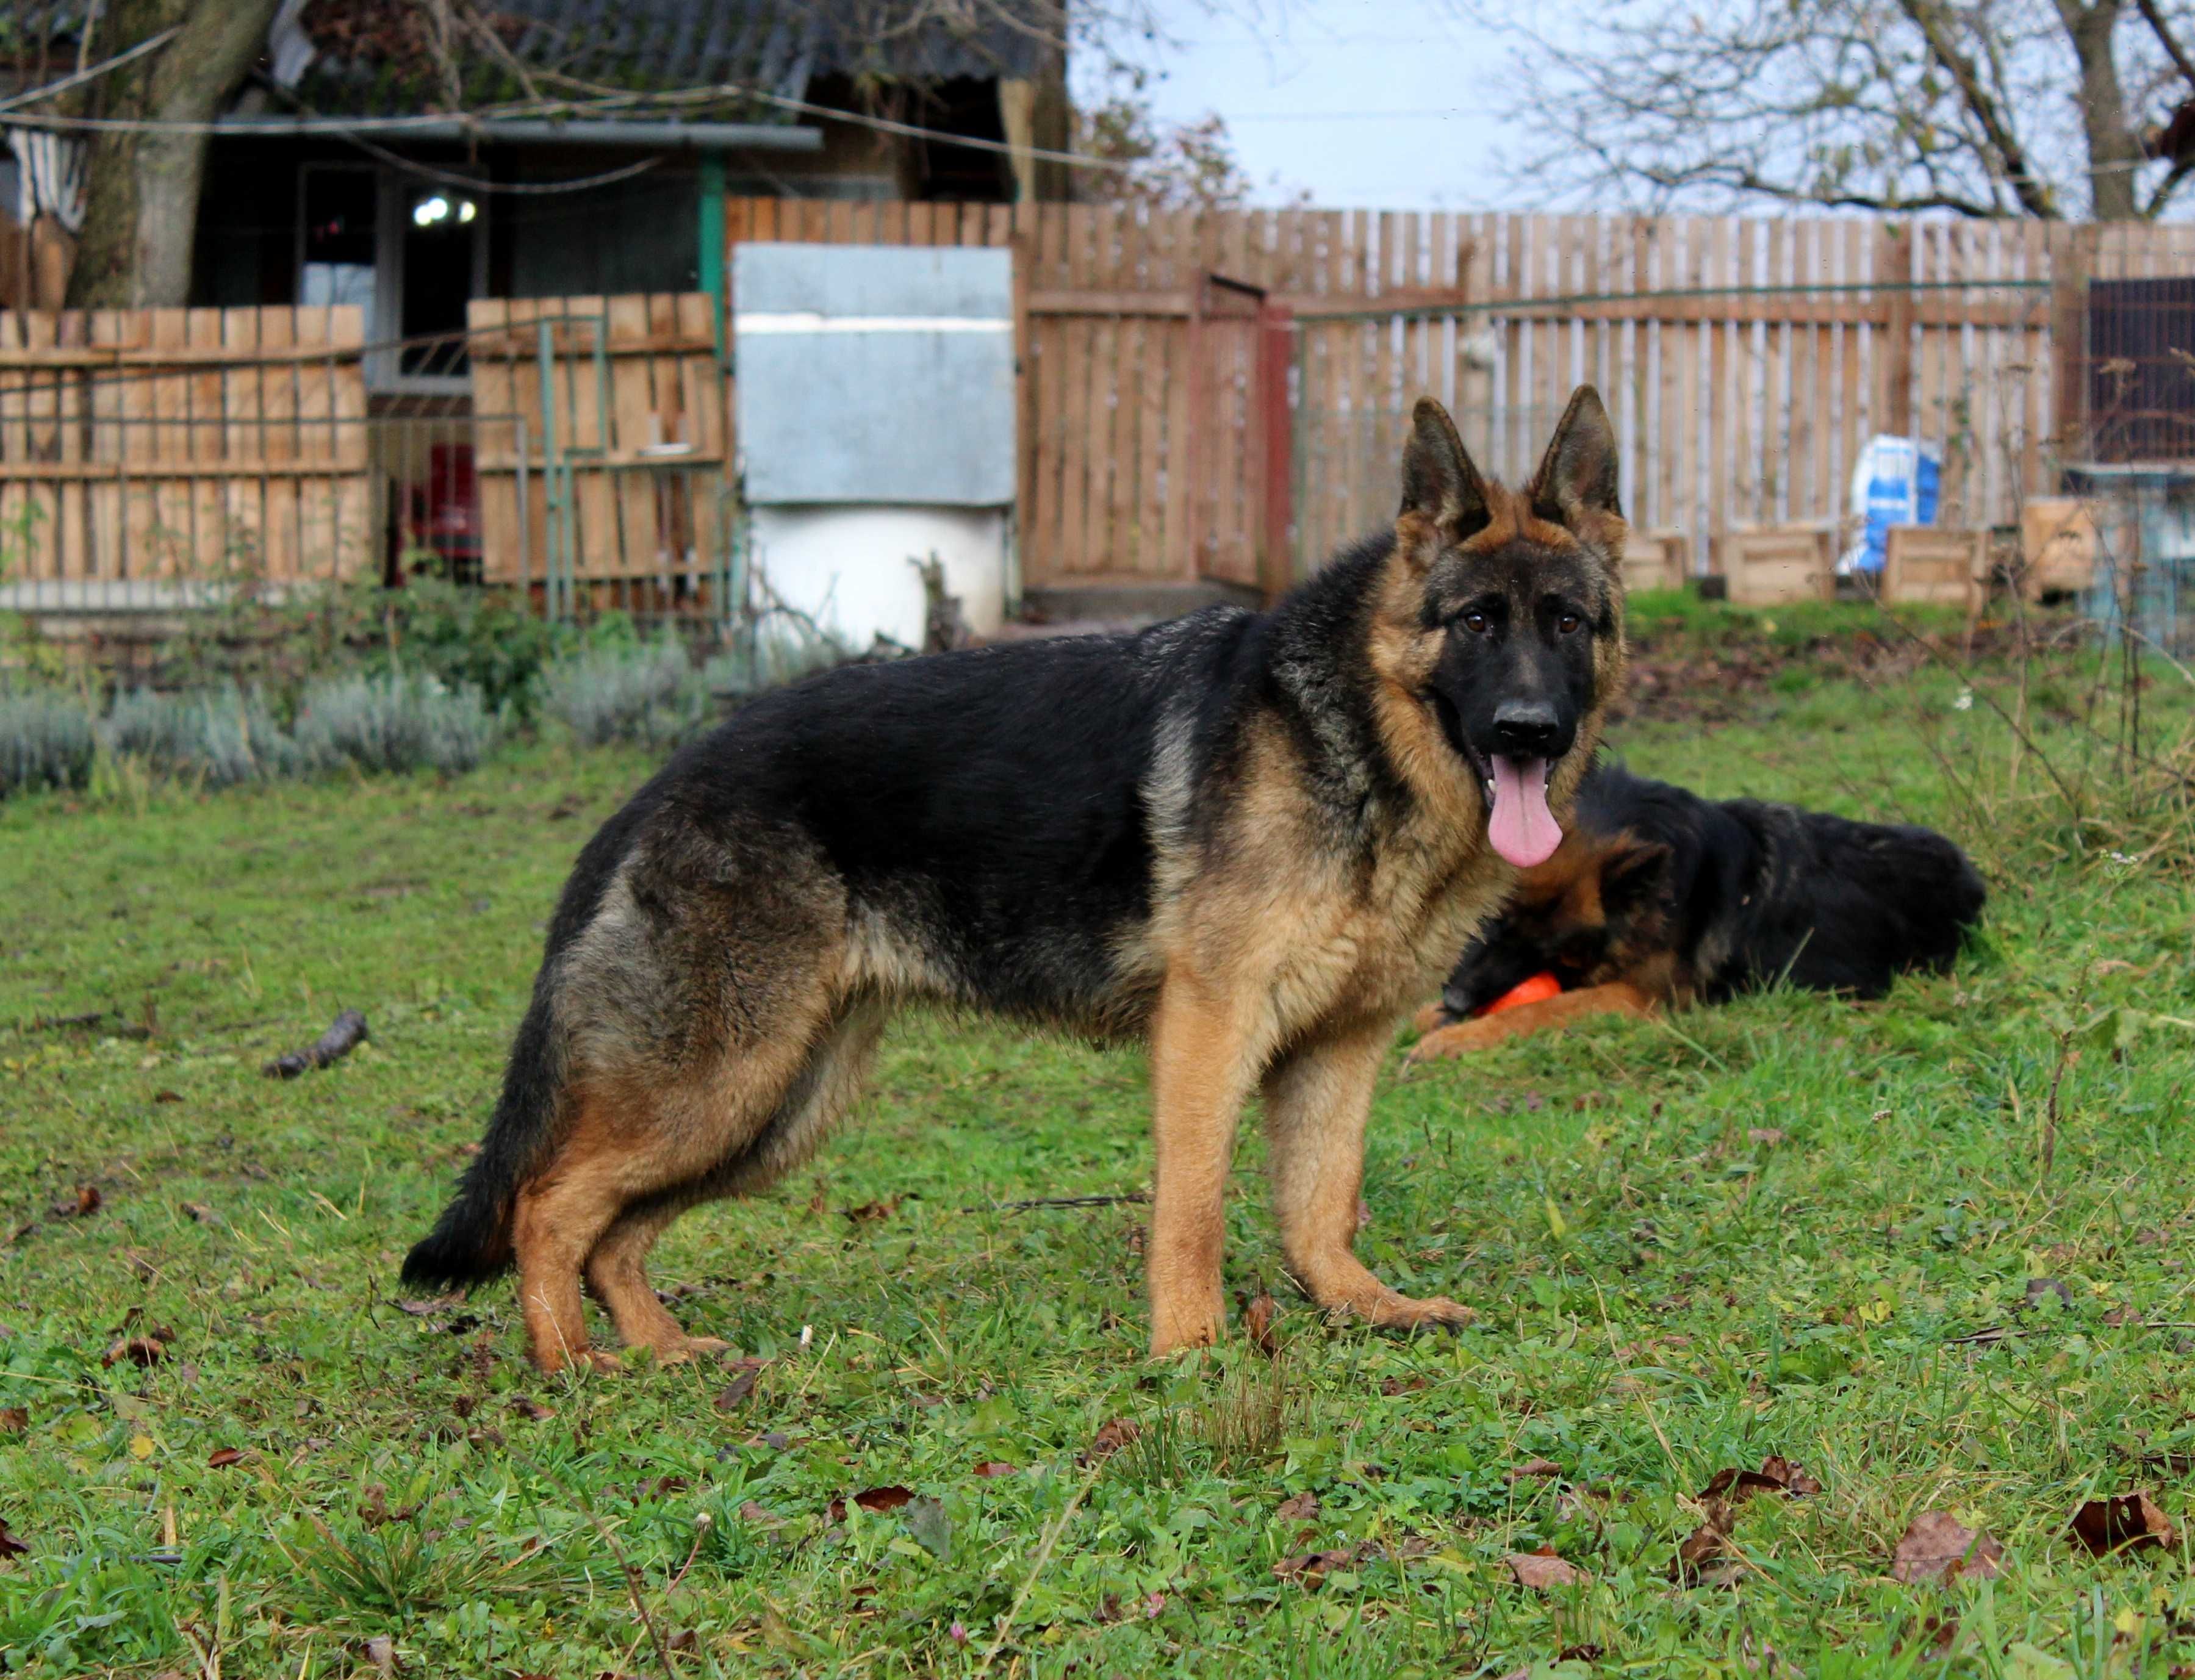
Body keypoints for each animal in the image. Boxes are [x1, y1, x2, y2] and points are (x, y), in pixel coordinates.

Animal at [408, 386, 1633, 1370]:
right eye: (1474, 622)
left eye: (1567, 623)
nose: (1529, 729)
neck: (1355, 735)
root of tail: (663, 782)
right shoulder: (1210, 1029)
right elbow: (1192, 1203)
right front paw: (1190, 1347)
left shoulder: (1338, 1047)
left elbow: (1320, 1205)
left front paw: (1357, 1307)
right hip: (721, 1080)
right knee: (547, 1205)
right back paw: (573, 1367)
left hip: (775, 1104)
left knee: (614, 1230)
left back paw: (660, 1352)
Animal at [1404, 764, 1992, 1063]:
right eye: (1492, 923)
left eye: (1546, 946)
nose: (1456, 1000)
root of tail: (1972, 875)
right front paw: (1428, 1017)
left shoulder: (1638, 996)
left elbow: (1535, 1010)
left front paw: (1451, 1038)